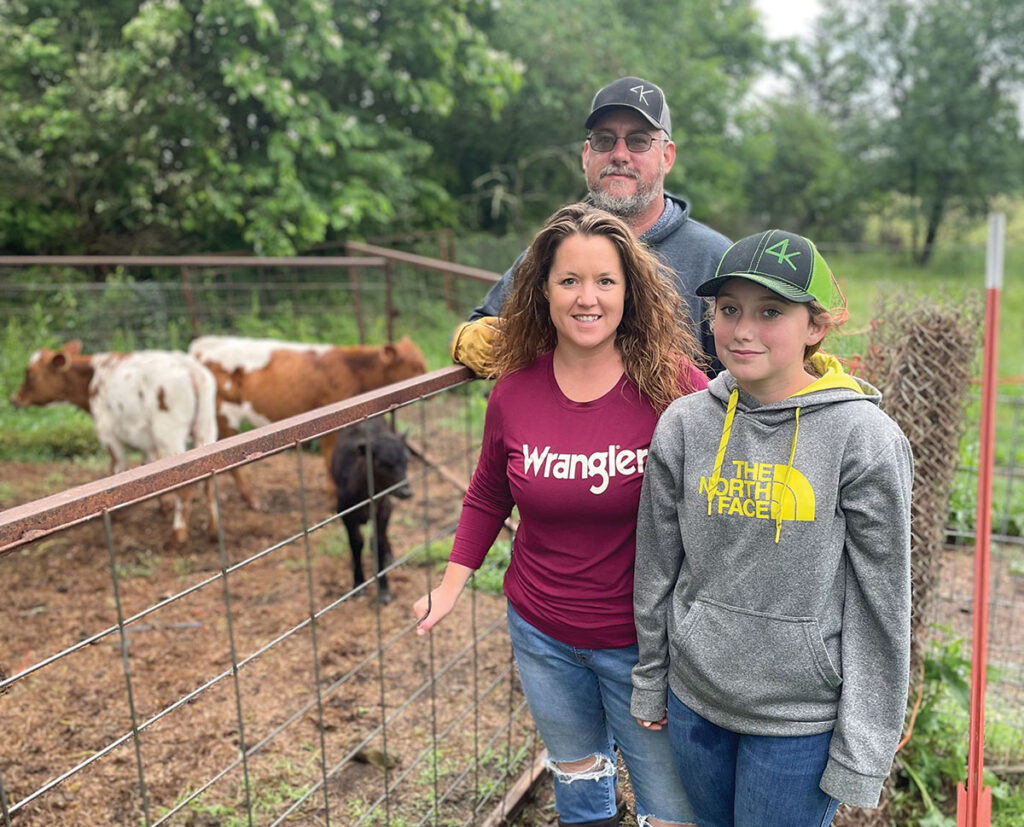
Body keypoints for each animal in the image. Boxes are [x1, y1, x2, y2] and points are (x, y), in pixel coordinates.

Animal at [188, 333, 428, 507]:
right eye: (415, 366)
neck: (352, 369)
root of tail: (201, 344)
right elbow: (328, 456)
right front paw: (333, 499)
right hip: (224, 416)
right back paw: (252, 499)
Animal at [325, 419, 409, 601]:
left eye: (407, 460)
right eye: (382, 464)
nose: (406, 492)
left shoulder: (384, 509)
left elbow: (377, 543)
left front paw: (383, 589)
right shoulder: (345, 513)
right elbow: (356, 543)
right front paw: (358, 584)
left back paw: (389, 556)